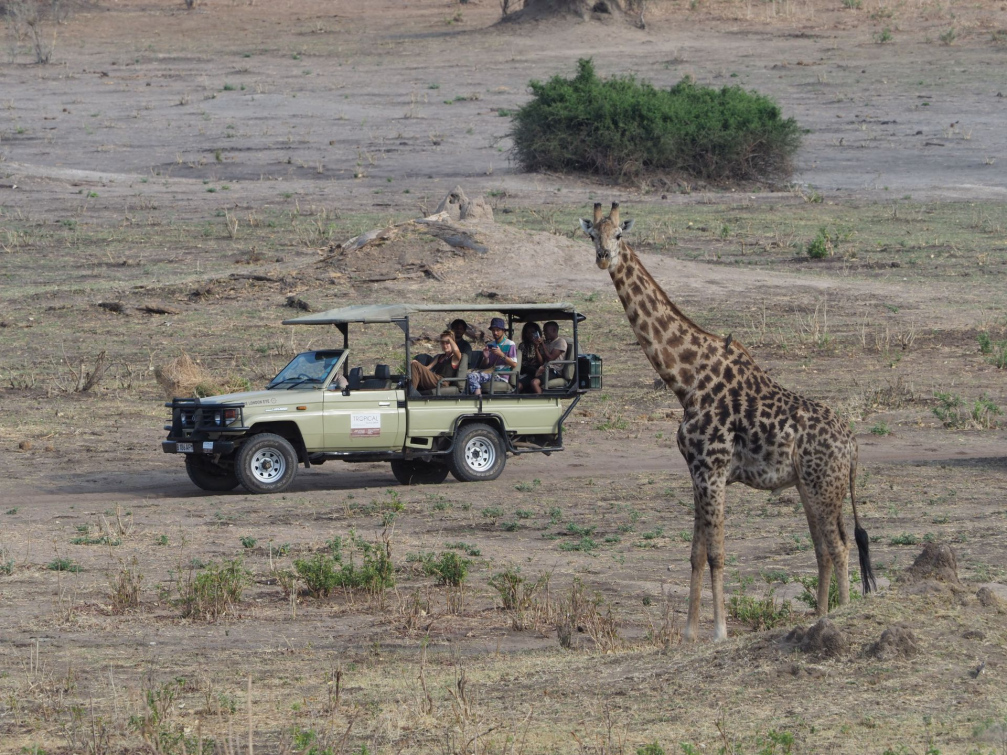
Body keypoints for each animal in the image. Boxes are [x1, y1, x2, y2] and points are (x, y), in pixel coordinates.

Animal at [584, 204, 874, 640]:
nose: (604, 258)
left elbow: (717, 553)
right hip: (812, 486)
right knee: (825, 546)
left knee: (837, 546)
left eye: (619, 234)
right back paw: (819, 615)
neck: (686, 379)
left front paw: (719, 632)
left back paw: (837, 616)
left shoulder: (714, 469)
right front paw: (689, 633)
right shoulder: (696, 471)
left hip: (824, 486)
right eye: (591, 235)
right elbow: (695, 553)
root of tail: (854, 446)